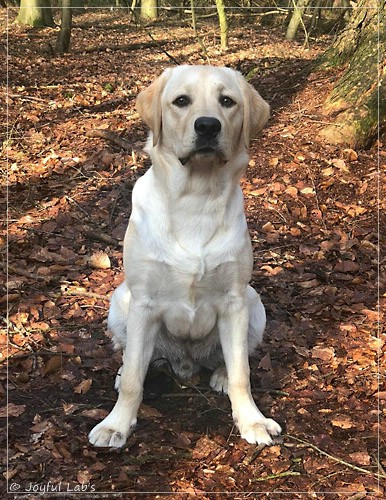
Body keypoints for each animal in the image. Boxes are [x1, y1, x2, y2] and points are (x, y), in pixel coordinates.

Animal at [89, 64, 282, 448]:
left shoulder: (234, 301)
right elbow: (133, 379)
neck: (197, 198)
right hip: (120, 301)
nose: (207, 126)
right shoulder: (143, 302)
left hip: (254, 304)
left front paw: (252, 420)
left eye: (227, 101)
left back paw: (219, 373)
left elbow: (242, 372)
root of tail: (187, 361)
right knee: (136, 358)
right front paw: (116, 424)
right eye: (181, 101)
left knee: (233, 358)